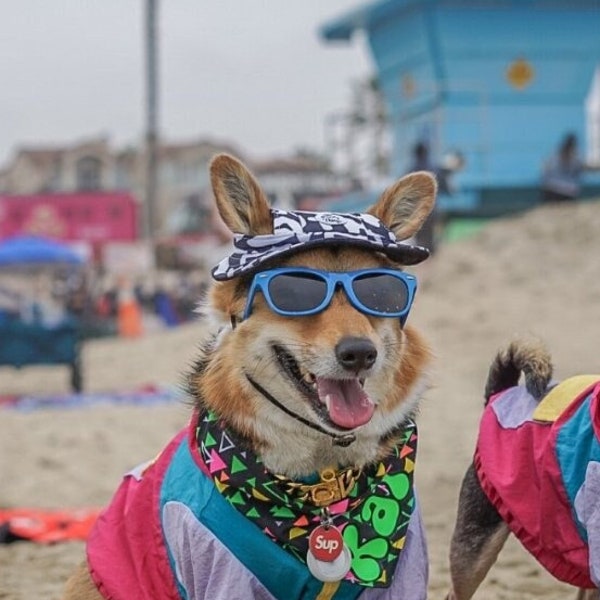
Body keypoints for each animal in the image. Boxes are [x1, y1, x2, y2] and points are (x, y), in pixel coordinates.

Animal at [64, 156, 436, 600]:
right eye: (295, 294)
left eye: (381, 295)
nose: (360, 354)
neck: (322, 486)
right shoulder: (219, 565)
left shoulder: (401, 575)